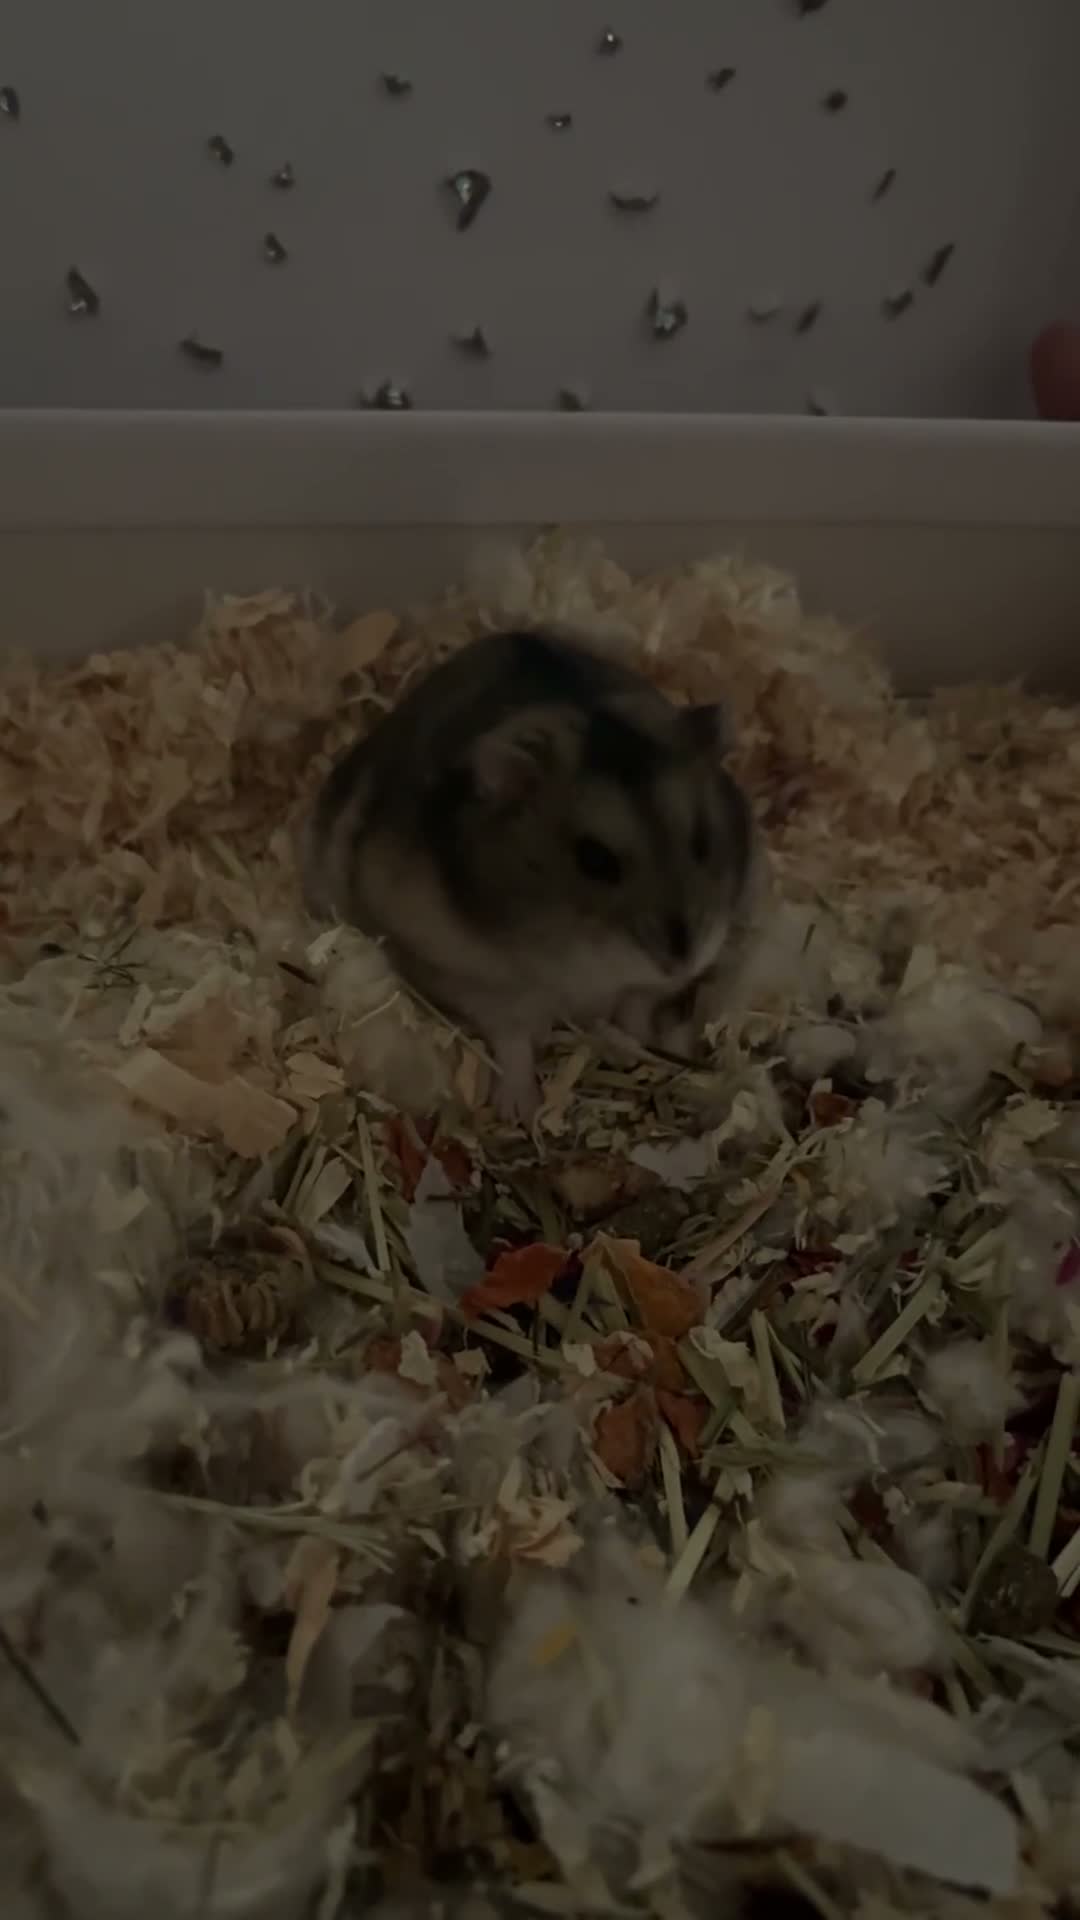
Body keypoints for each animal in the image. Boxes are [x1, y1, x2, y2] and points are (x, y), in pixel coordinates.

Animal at [303, 627, 756, 1120]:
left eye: (702, 840)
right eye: (594, 860)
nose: (682, 963)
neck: (577, 956)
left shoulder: (640, 986)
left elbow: (635, 1010)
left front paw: (646, 1050)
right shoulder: (472, 976)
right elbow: (512, 1039)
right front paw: (518, 1110)